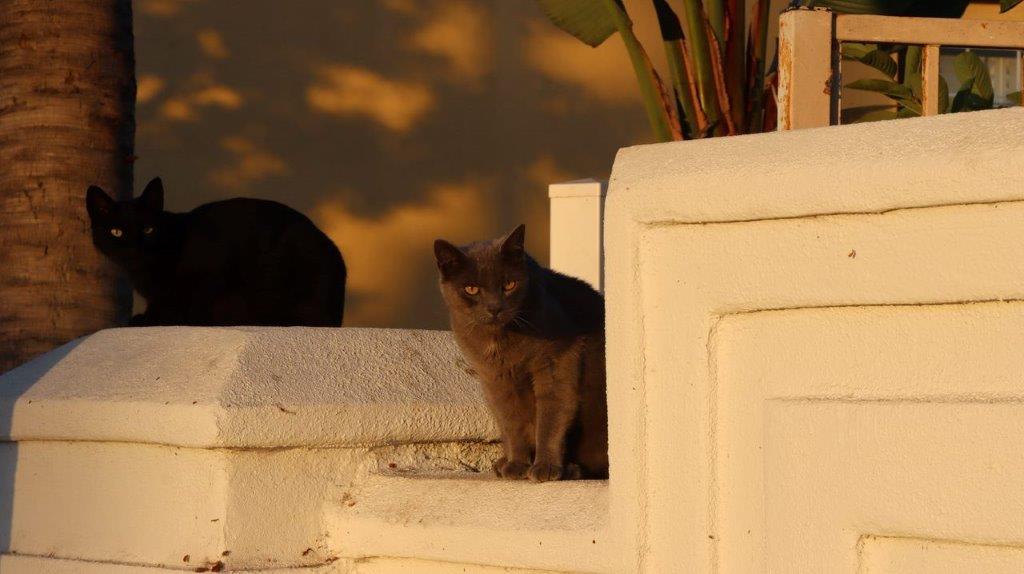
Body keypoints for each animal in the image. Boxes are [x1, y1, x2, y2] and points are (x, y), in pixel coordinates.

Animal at [87, 177, 348, 325]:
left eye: (148, 229)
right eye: (116, 232)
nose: (135, 248)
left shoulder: (211, 273)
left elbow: (196, 302)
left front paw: (165, 319)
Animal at [434, 224, 606, 478]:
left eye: (509, 285)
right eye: (472, 288)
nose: (494, 308)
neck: (501, 342)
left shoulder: (557, 361)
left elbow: (551, 416)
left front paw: (545, 468)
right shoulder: (495, 378)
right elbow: (511, 421)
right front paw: (517, 465)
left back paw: (571, 469)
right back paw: (503, 464)